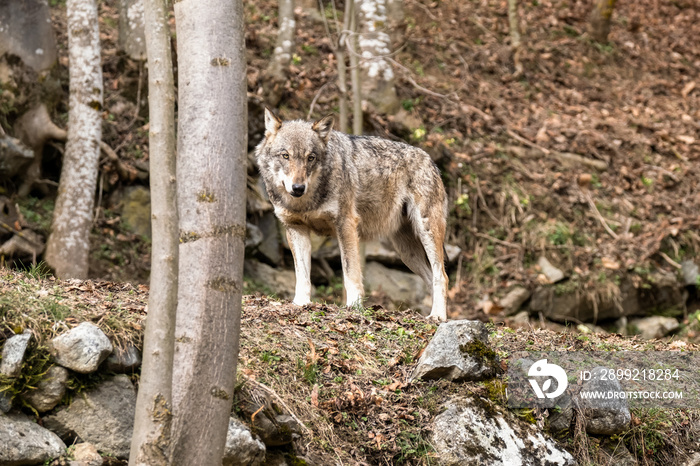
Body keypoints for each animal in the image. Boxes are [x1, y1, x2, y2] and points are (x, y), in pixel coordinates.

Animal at [256, 108, 448, 320]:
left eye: (310, 158)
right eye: (285, 156)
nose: (298, 188)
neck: (305, 202)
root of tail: (430, 160)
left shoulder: (346, 224)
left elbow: (350, 272)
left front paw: (354, 307)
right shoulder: (296, 229)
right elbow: (302, 275)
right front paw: (300, 304)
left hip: (426, 232)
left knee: (441, 276)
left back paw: (438, 317)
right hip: (406, 252)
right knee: (431, 278)